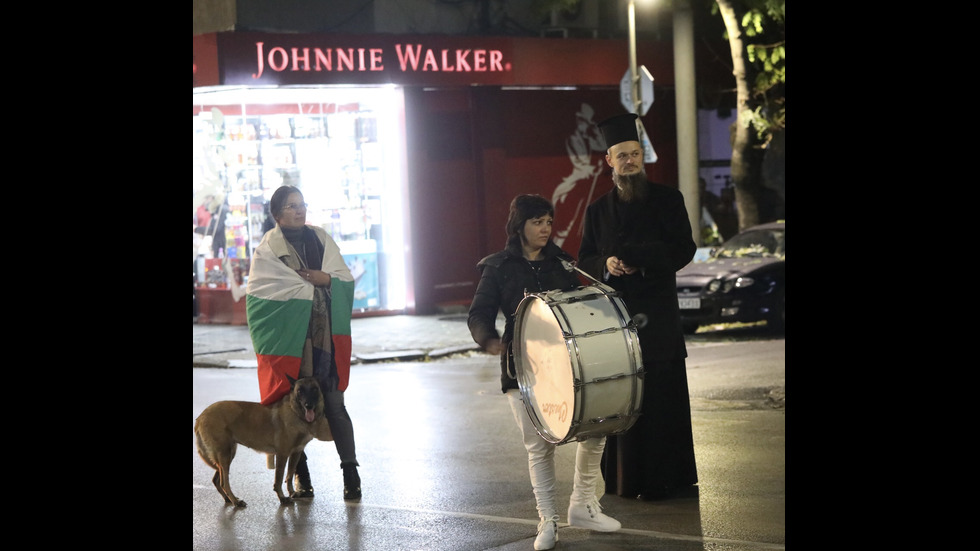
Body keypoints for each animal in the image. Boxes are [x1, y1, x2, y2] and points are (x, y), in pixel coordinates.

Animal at [195, 376, 334, 508]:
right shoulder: (282, 454)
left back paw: (229, 499)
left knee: (216, 480)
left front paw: (292, 493)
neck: (295, 412)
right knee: (224, 483)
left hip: (228, 454)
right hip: (225, 454)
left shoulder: (296, 453)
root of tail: (200, 417)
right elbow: (279, 479)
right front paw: (282, 498)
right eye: (300, 391)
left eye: (315, 389)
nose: (308, 405)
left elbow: (289, 476)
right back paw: (236, 501)